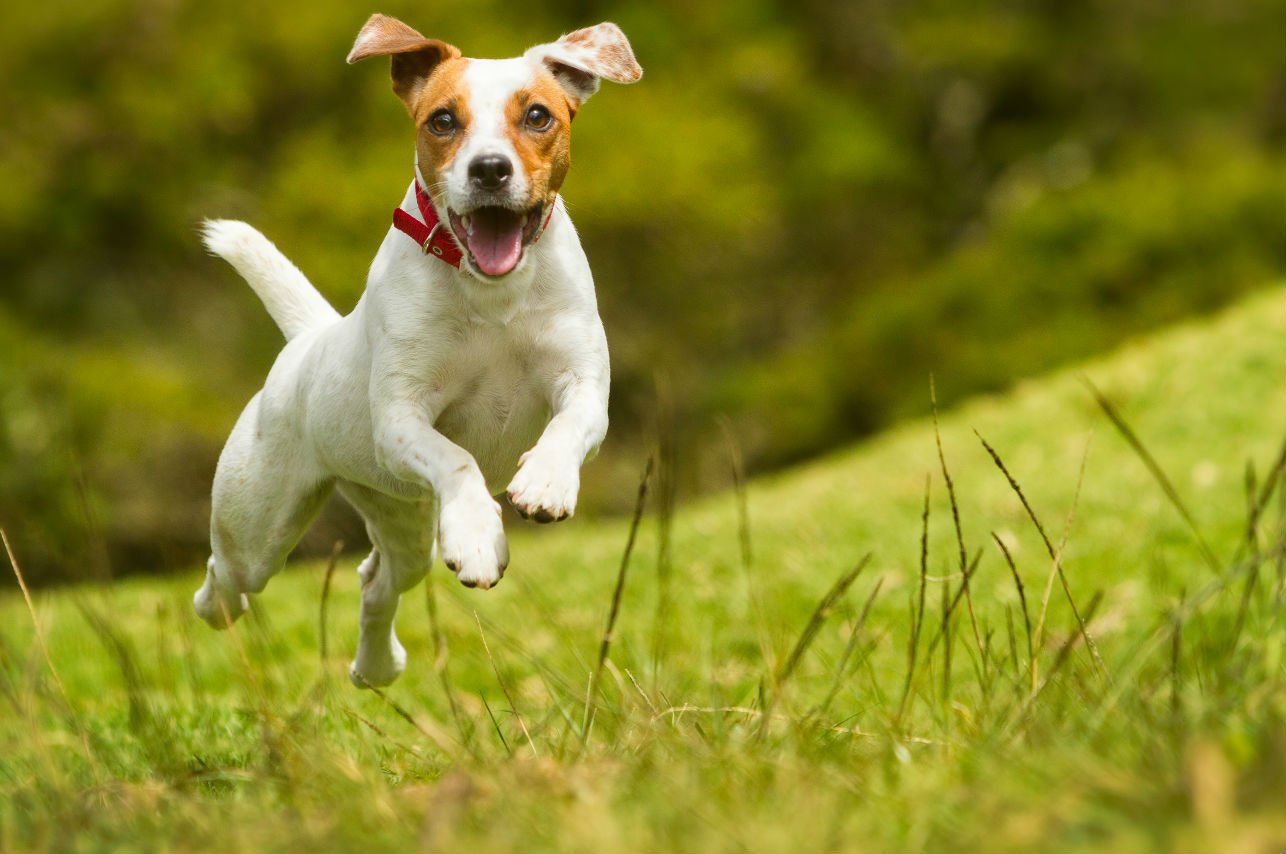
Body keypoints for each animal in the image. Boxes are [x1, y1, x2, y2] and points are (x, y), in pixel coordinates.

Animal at [190, 15, 643, 689]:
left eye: (537, 115)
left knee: (376, 580)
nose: (489, 169)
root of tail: (308, 339)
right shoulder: (402, 419)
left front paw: (544, 483)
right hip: (259, 524)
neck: (492, 294)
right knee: (228, 577)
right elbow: (457, 459)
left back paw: (376, 666)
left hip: (401, 518)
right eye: (442, 120)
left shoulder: (583, 383)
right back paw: (217, 606)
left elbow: (567, 426)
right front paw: (479, 535)